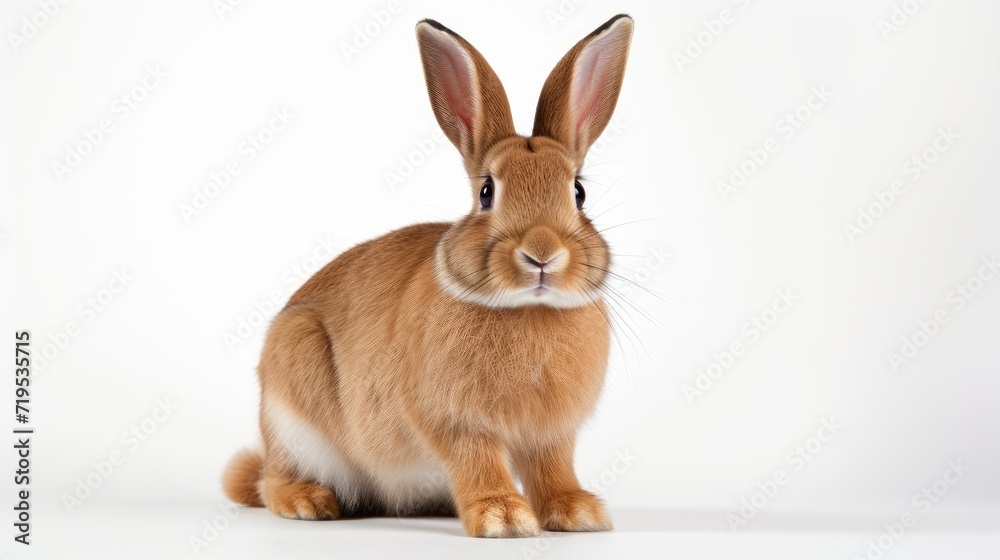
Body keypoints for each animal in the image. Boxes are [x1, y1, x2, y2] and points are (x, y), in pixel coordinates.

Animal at [223, 13, 633, 538]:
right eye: (486, 192)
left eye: (578, 192)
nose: (542, 254)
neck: (527, 307)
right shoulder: (454, 421)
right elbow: (477, 460)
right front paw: (502, 517)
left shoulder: (551, 434)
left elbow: (553, 468)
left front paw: (578, 513)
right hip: (293, 409)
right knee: (271, 482)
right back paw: (308, 501)